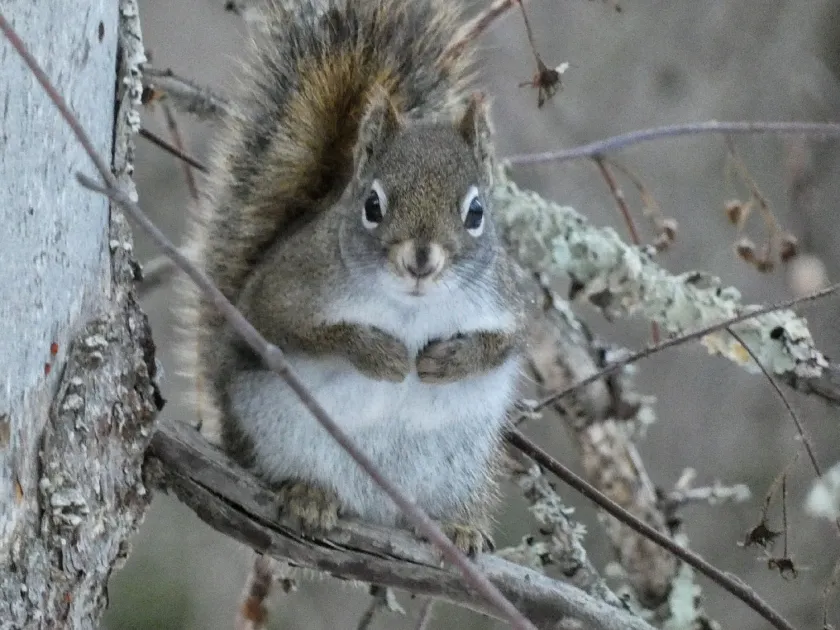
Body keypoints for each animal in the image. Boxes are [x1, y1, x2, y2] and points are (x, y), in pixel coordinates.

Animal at [176, 0, 526, 555]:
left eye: (476, 213)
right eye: (373, 205)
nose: (421, 260)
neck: (410, 305)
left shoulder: (504, 299)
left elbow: (505, 343)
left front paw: (452, 359)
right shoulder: (286, 288)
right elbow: (288, 327)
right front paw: (377, 353)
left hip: (460, 469)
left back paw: (461, 527)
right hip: (279, 436)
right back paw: (309, 495)